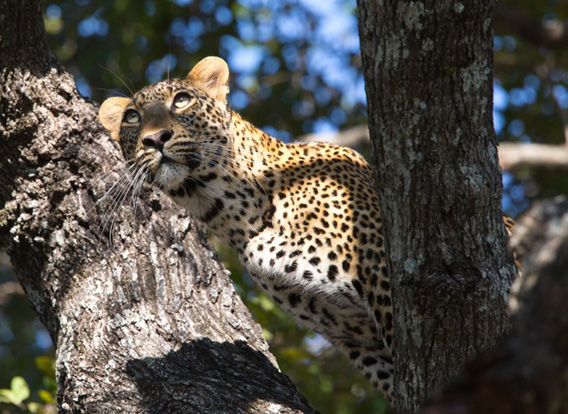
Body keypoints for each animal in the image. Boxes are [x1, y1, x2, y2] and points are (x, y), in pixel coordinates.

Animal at [100, 55, 516, 404]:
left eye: (182, 100)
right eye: (132, 117)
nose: (154, 139)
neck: (233, 211)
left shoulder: (384, 277)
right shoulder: (355, 337)